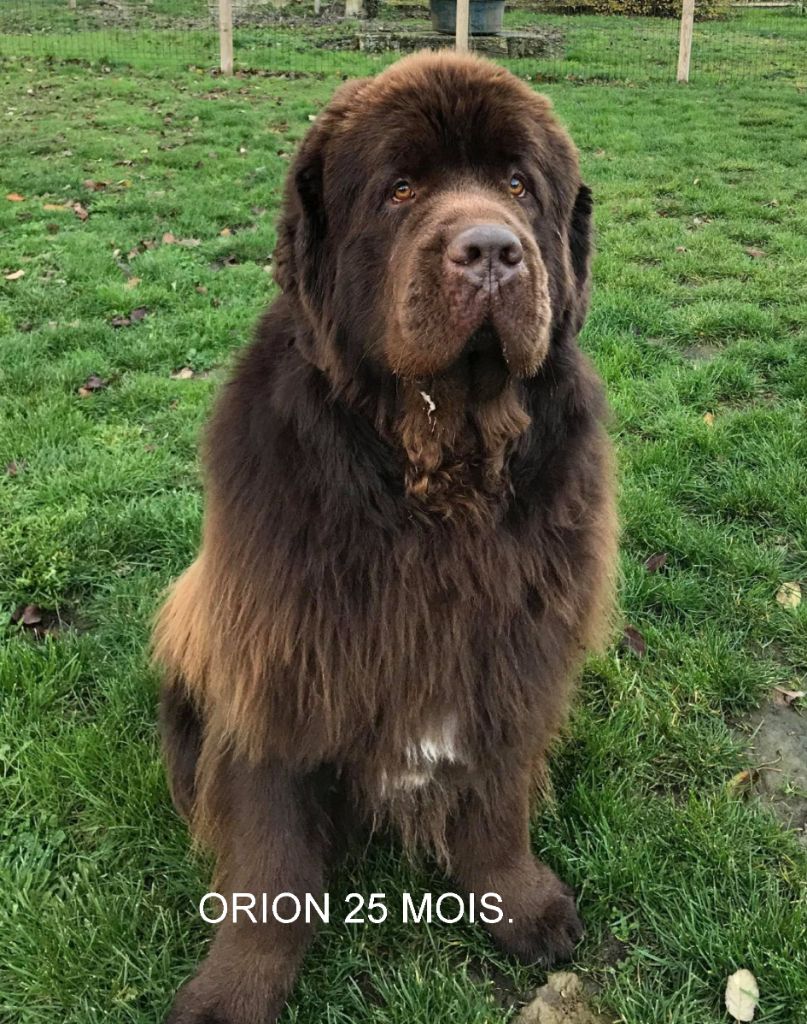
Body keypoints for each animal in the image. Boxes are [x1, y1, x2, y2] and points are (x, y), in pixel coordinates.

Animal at [152, 49, 618, 1024]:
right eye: (400, 190)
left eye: (518, 186)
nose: (490, 251)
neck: (440, 473)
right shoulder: (279, 663)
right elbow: (270, 853)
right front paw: (236, 988)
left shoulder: (510, 653)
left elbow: (497, 802)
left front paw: (517, 902)